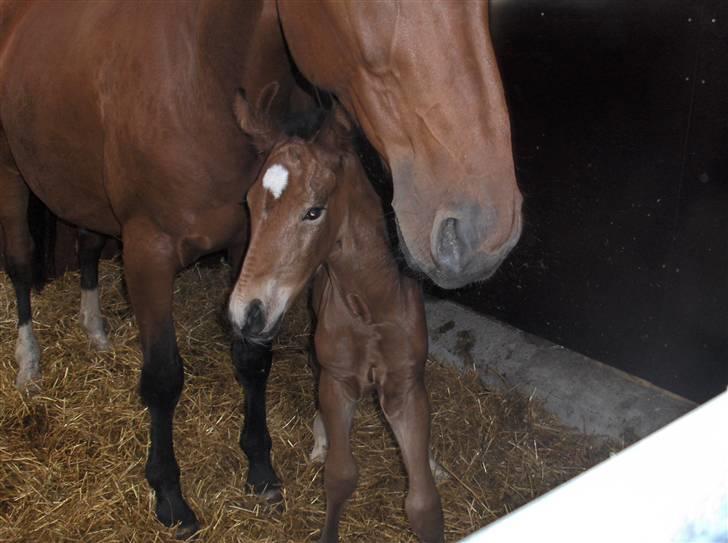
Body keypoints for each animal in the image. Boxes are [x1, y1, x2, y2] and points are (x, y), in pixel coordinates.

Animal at [228, 99, 444, 543]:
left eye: (314, 211)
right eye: (249, 202)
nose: (246, 312)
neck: (371, 308)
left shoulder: (405, 385)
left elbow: (423, 503)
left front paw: (428, 466)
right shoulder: (339, 381)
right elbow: (341, 476)